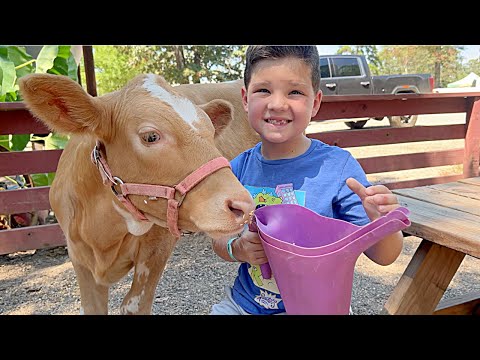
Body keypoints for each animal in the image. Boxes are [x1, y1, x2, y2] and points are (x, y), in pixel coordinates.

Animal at [18, 72, 256, 312]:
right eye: (150, 136)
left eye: (211, 133)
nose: (243, 205)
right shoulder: (78, 256)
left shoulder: (157, 248)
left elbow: (133, 305)